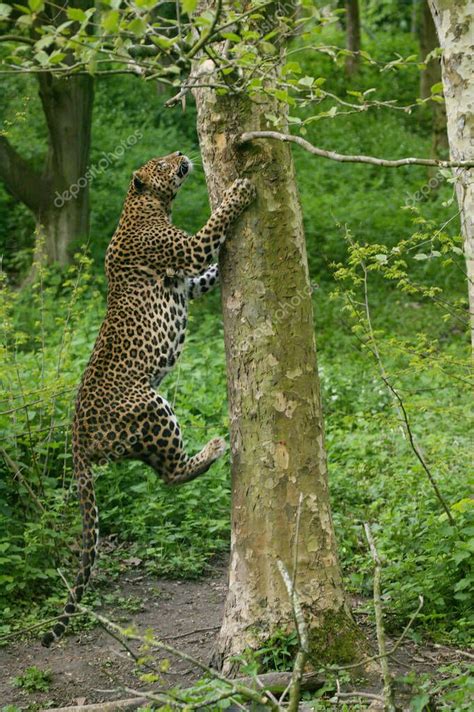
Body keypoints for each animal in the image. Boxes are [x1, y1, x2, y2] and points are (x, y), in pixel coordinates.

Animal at [41, 152, 256, 652]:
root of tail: (75, 436)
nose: (182, 155)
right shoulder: (188, 250)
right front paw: (239, 188)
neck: (143, 204)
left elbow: (207, 275)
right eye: (161, 163)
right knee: (171, 475)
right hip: (151, 403)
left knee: (162, 473)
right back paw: (214, 448)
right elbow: (214, 226)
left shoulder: (189, 279)